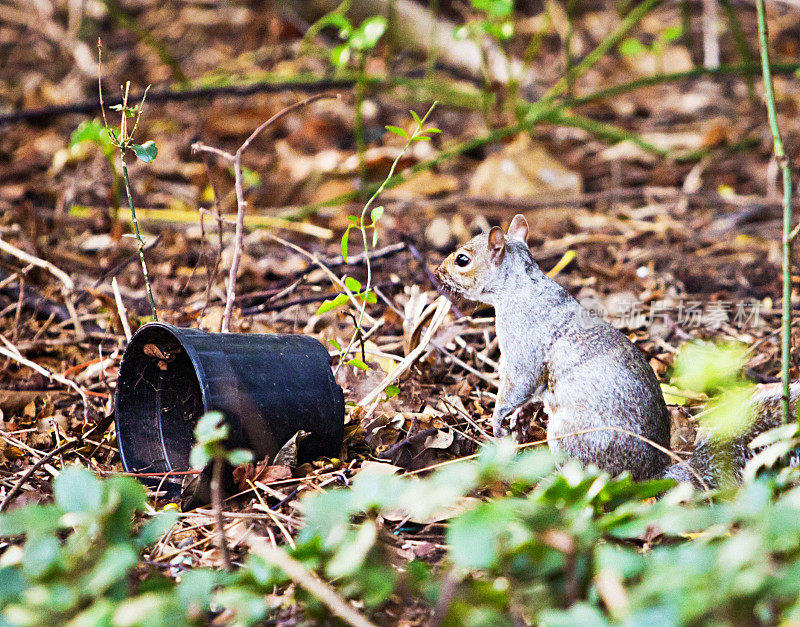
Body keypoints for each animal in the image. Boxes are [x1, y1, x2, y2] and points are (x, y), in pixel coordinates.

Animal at [438, 215, 800, 486]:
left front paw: (498, 420)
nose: (439, 272)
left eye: (462, 260)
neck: (519, 286)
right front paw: (520, 421)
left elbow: (519, 384)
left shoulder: (522, 345)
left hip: (571, 435)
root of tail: (647, 477)